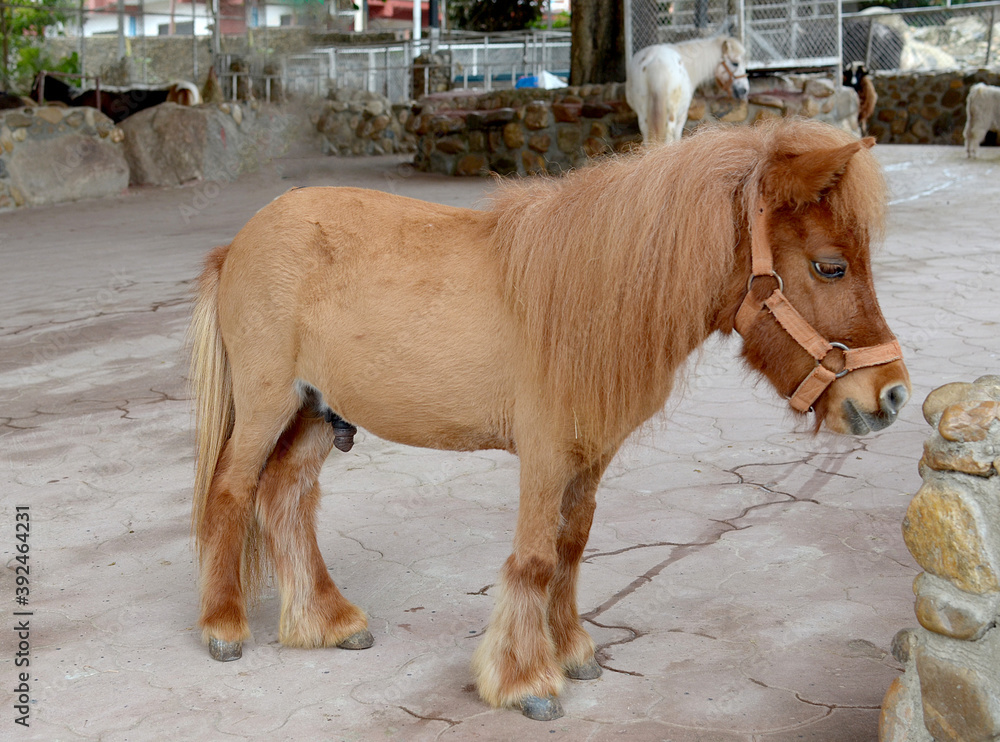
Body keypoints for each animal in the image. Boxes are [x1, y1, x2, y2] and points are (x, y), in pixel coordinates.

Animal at [189, 118, 910, 721]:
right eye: (829, 265)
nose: (892, 396)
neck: (587, 296)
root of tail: (239, 243)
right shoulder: (544, 453)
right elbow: (535, 559)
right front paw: (524, 680)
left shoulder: (589, 457)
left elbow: (572, 546)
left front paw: (571, 650)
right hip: (268, 404)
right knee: (232, 490)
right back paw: (223, 627)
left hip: (315, 412)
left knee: (285, 497)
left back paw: (328, 621)